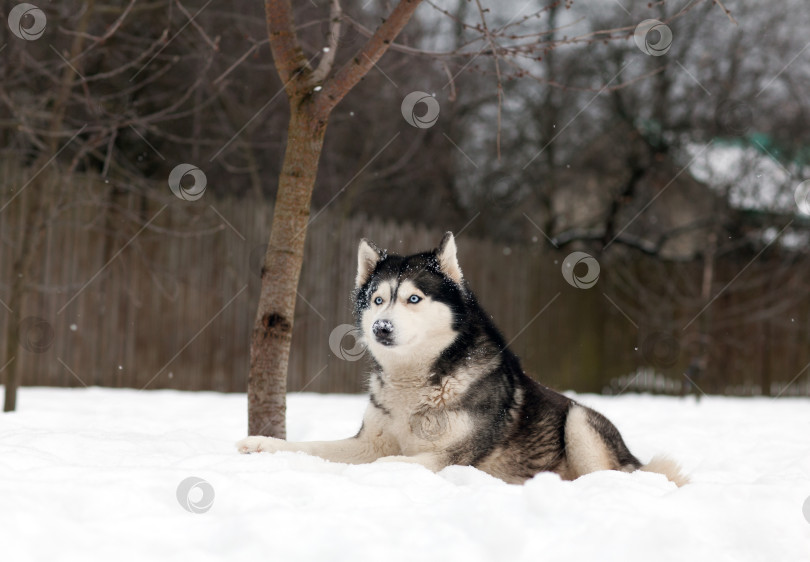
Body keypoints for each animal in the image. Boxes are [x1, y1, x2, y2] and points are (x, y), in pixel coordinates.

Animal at [237, 233, 684, 486]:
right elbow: (312, 446)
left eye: (413, 299)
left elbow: (391, 462)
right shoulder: (369, 441)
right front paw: (263, 445)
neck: (417, 382)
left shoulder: (448, 458)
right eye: (378, 299)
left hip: (579, 421)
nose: (381, 327)